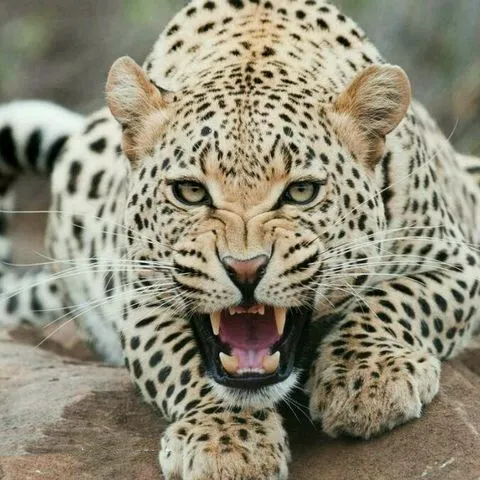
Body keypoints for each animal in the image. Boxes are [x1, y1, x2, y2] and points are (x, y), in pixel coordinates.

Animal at [1, 0, 480, 478]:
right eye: (190, 192)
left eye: (301, 192)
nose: (245, 269)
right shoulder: (139, 298)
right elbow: (182, 362)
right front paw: (227, 441)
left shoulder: (456, 261)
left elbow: (394, 300)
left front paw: (367, 379)